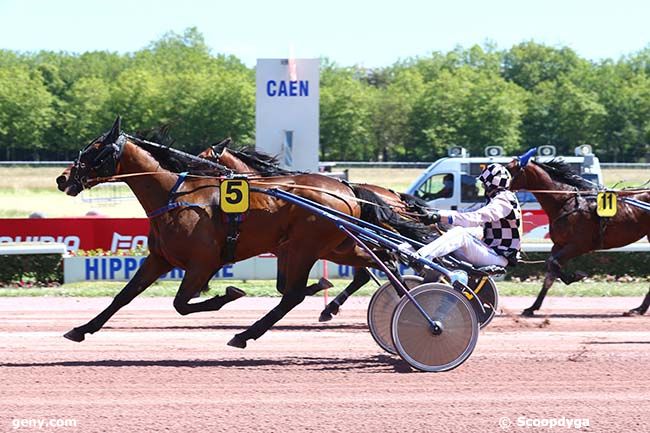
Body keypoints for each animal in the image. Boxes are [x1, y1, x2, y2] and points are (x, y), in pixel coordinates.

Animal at [195, 138, 432, 320]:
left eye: (202, 159)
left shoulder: (289, 248)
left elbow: (285, 286)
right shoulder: (287, 249)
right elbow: (283, 285)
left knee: (376, 266)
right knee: (371, 269)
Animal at [506, 155, 648, 314]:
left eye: (508, 169)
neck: (566, 202)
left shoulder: (579, 245)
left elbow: (553, 263)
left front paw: (575, 276)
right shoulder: (559, 244)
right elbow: (550, 269)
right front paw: (532, 307)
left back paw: (640, 309)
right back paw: (640, 308)